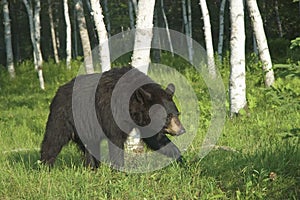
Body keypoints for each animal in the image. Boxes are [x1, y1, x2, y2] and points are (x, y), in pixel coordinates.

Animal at [39, 67, 185, 169]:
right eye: (167, 117)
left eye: (177, 114)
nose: (182, 130)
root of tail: (58, 91)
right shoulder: (111, 113)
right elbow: (115, 140)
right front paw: (119, 169)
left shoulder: (143, 121)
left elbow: (156, 140)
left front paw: (182, 161)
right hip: (63, 117)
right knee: (53, 139)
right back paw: (45, 166)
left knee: (90, 147)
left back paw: (92, 167)